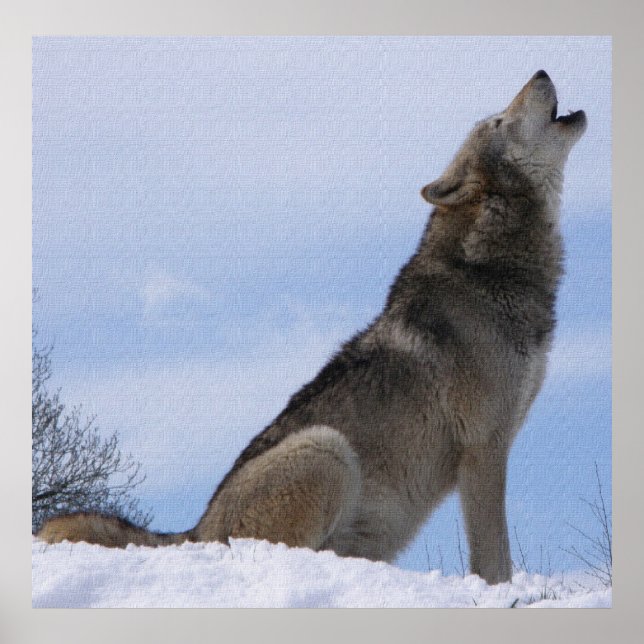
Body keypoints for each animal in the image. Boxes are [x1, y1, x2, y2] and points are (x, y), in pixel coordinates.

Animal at [38, 71, 586, 585]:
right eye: (498, 121)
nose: (540, 71)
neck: (490, 270)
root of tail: (195, 532)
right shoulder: (484, 448)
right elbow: (495, 559)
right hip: (326, 448)